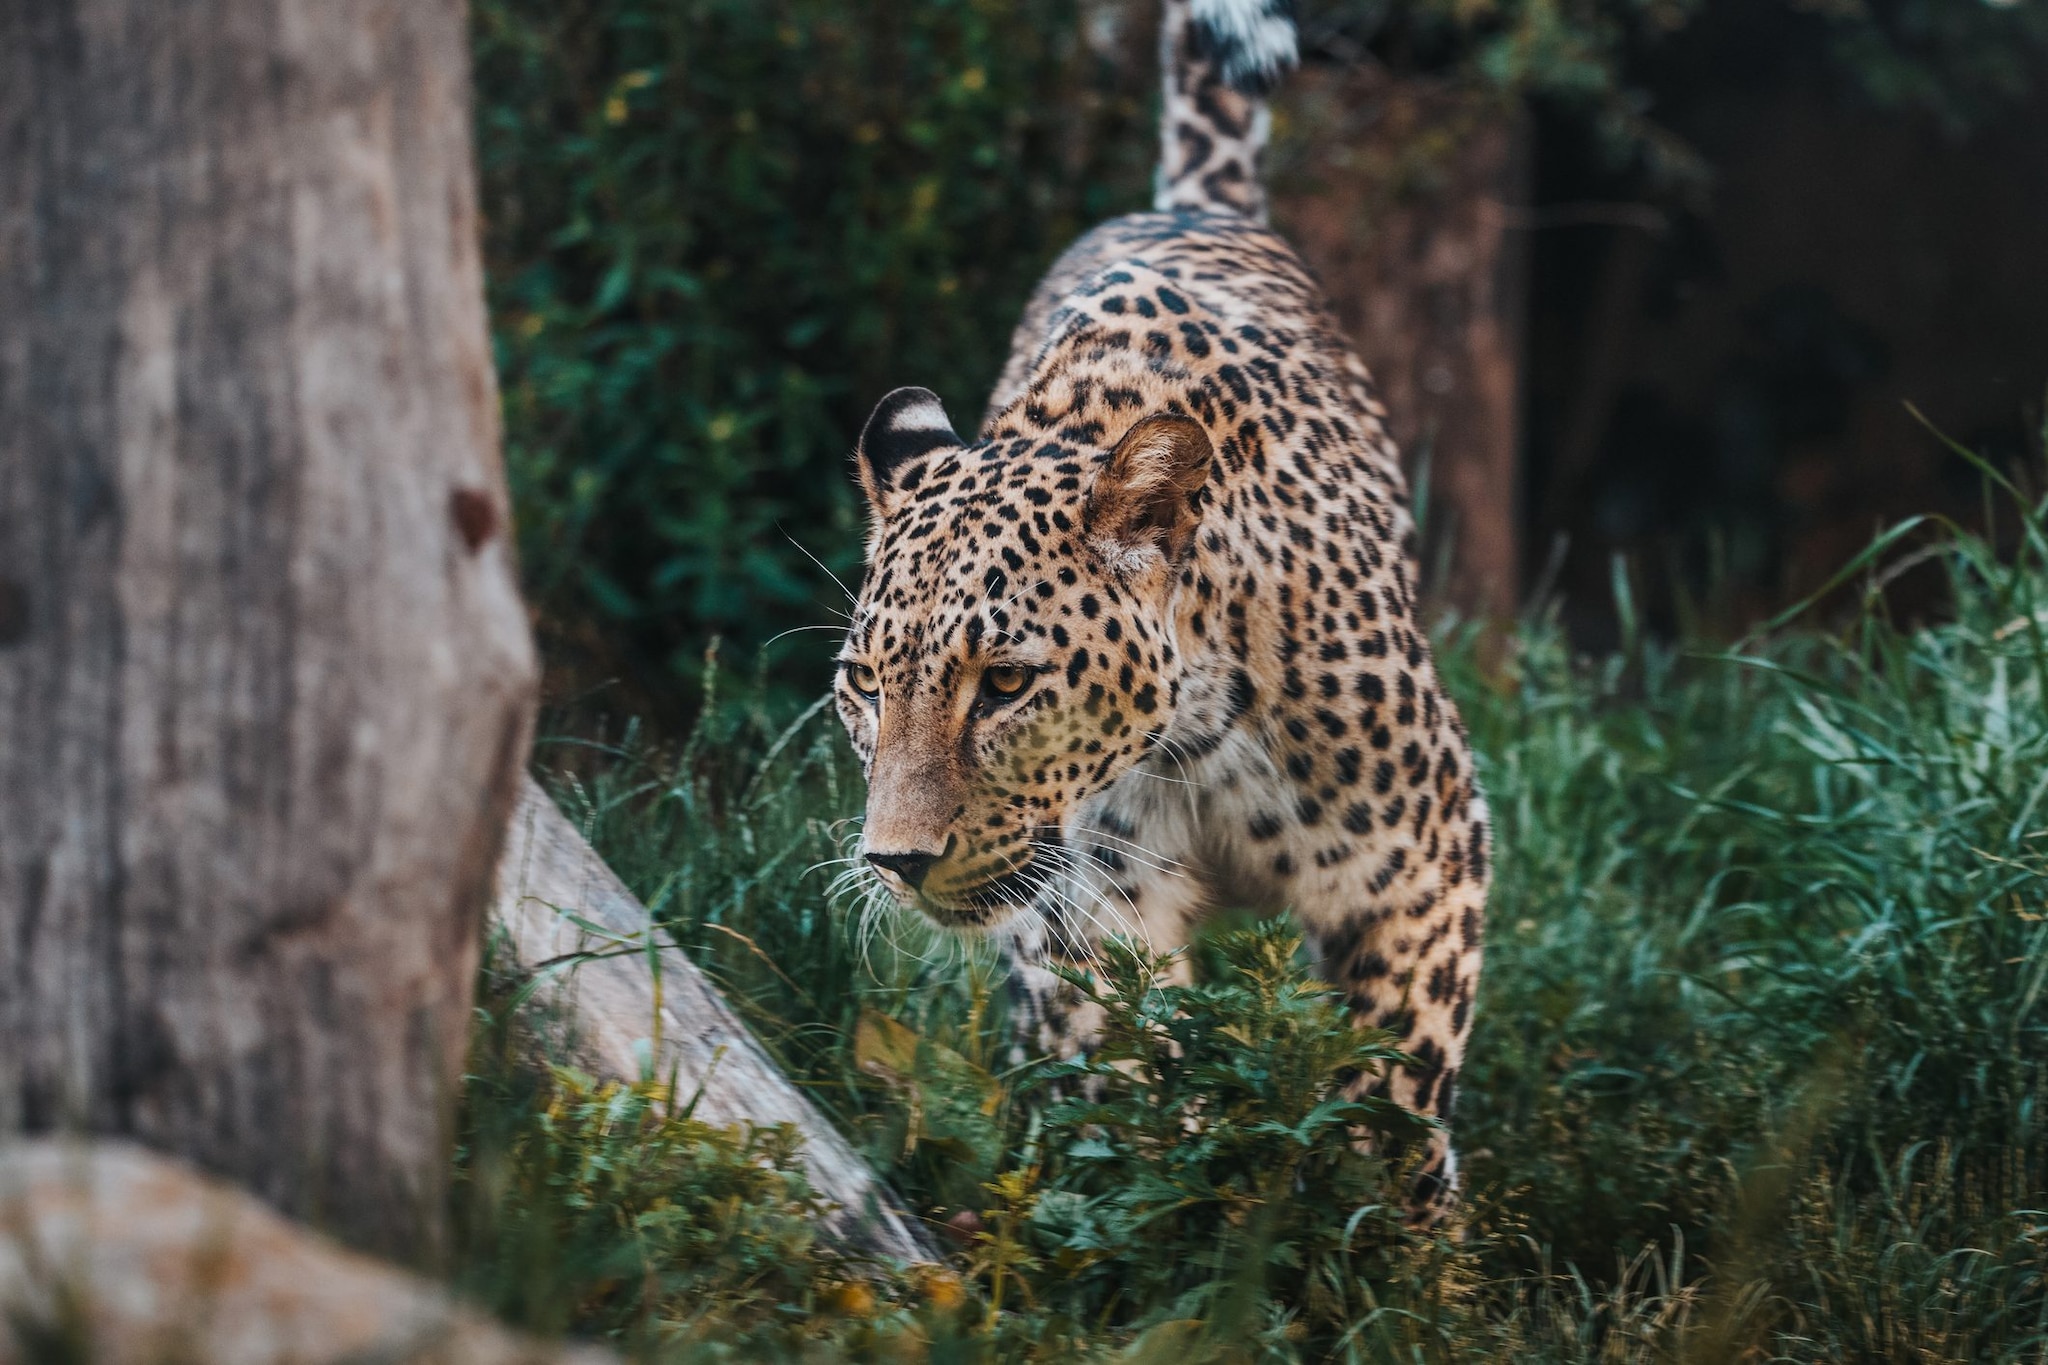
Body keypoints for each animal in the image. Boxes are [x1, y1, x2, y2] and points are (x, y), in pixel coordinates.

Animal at [834, 0, 1490, 1216]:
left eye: (1004, 684)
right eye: (864, 685)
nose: (895, 861)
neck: (1194, 736)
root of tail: (1189, 202)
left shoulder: (1426, 856)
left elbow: (1395, 1083)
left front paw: (1390, 1235)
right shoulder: (1096, 905)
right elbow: (1133, 1080)